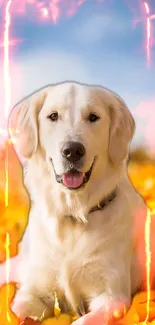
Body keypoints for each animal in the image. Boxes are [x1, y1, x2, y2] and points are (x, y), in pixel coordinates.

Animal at [0, 81, 149, 322]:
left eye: (93, 117)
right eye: (53, 116)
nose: (72, 151)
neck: (73, 214)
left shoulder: (112, 298)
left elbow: (84, 320)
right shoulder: (32, 292)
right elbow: (17, 310)